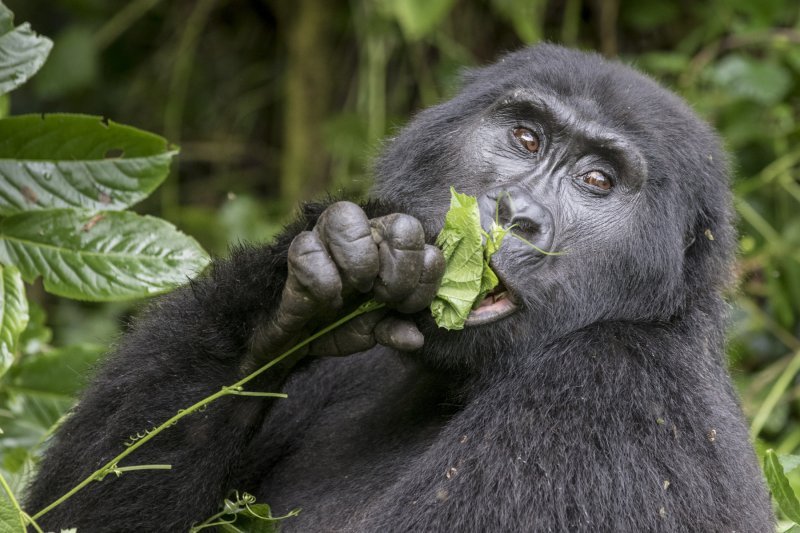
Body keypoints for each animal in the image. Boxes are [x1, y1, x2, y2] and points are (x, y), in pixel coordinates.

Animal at [26, 45, 776, 532]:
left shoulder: (615, 389)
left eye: (598, 181)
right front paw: (299, 293)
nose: (515, 213)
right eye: (525, 137)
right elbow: (68, 515)